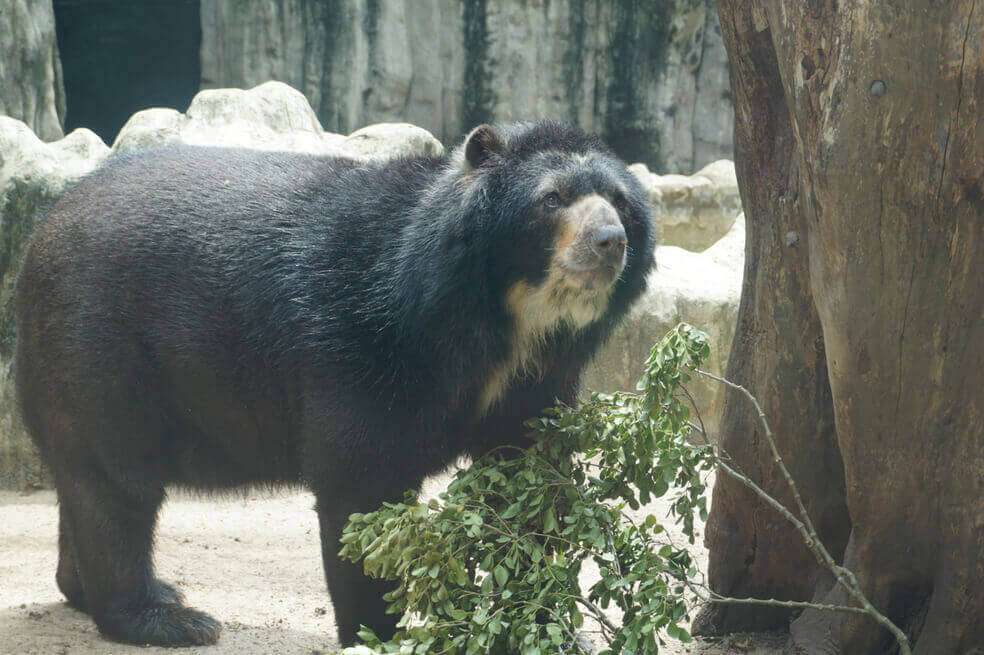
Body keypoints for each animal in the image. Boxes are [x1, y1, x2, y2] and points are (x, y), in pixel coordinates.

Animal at [13, 120, 655, 647]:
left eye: (621, 203)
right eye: (552, 199)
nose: (609, 241)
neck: (500, 323)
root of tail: (40, 234)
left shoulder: (535, 381)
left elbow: (529, 481)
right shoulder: (363, 345)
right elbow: (361, 486)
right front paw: (378, 633)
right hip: (101, 348)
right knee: (116, 484)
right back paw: (167, 618)